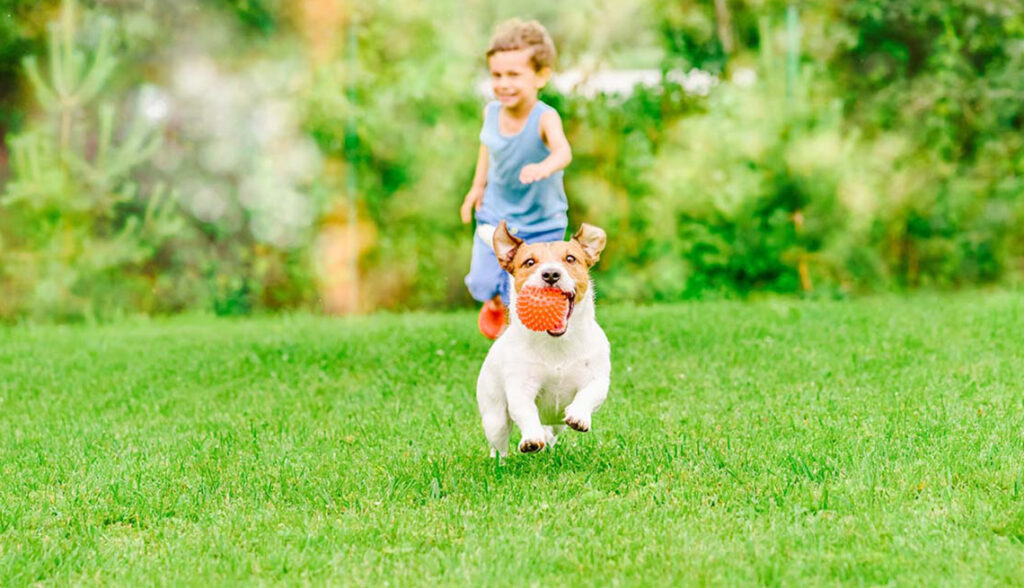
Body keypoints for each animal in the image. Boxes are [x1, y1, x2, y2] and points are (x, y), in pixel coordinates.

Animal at [477, 221, 610, 456]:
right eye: (529, 262)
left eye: (570, 258)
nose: (550, 274)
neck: (556, 344)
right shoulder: (521, 387)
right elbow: (526, 411)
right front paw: (531, 438)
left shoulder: (598, 378)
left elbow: (590, 393)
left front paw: (579, 416)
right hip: (494, 417)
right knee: (498, 444)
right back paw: (499, 461)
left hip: (556, 424)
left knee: (552, 431)